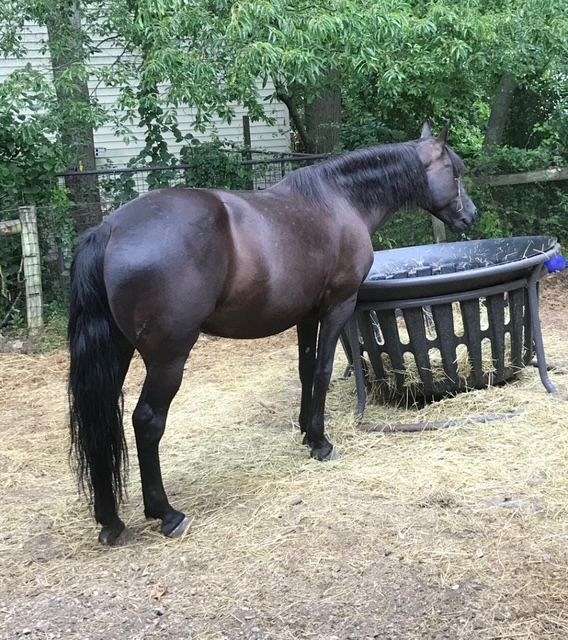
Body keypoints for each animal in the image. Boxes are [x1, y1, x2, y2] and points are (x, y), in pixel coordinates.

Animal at [68, 121, 478, 545]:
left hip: (117, 353)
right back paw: (166, 513)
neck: (341, 202)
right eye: (455, 173)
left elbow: (306, 370)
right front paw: (321, 443)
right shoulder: (337, 307)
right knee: (147, 421)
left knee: (102, 420)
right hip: (168, 359)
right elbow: (324, 370)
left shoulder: (306, 315)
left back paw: (111, 521)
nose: (471, 216)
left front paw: (306, 431)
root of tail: (111, 229)